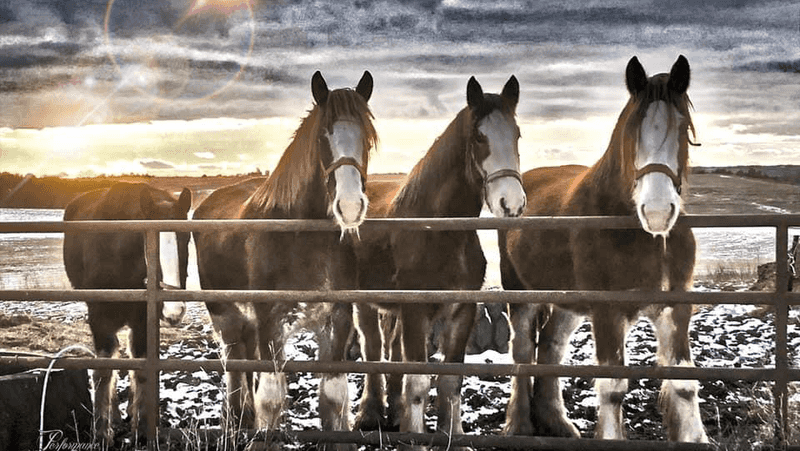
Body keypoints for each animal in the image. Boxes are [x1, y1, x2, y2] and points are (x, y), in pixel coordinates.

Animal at [63, 182, 192, 444]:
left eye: (187, 238)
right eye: (149, 244)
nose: (174, 309)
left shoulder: (143, 320)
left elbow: (142, 368)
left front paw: (141, 428)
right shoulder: (99, 319)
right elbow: (104, 370)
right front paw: (102, 433)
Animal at [192, 71, 376, 450]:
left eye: (366, 138)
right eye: (323, 136)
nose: (350, 206)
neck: (301, 238)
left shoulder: (336, 321)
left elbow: (334, 395)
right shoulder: (271, 323)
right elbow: (272, 397)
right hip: (226, 315)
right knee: (234, 365)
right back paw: (236, 420)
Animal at [353, 76, 525, 450]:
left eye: (517, 134)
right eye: (479, 137)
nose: (511, 203)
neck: (440, 232)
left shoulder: (462, 311)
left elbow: (450, 380)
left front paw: (452, 434)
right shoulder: (416, 312)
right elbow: (418, 382)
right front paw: (415, 436)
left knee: (391, 348)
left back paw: (394, 412)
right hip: (363, 301)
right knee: (372, 347)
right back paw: (370, 414)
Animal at [499, 55, 709, 442]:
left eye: (683, 130)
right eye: (631, 131)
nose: (658, 212)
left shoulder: (675, 307)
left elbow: (684, 384)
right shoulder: (607, 311)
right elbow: (612, 387)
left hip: (567, 302)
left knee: (550, 346)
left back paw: (557, 422)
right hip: (521, 294)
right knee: (522, 351)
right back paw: (519, 424)